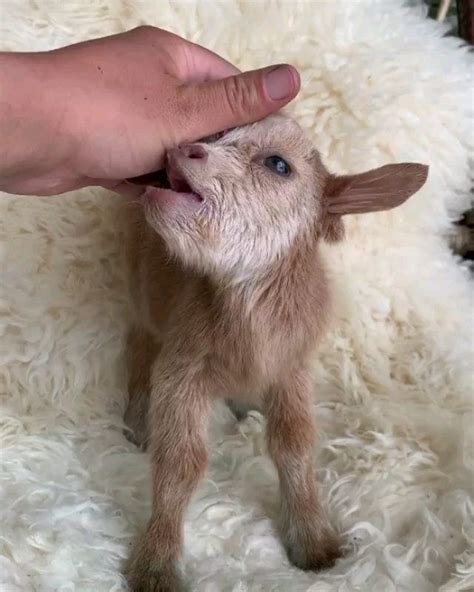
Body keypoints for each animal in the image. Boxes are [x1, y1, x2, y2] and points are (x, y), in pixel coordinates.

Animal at [122, 113, 426, 588]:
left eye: (278, 164)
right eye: (215, 133)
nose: (184, 149)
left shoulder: (291, 368)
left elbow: (294, 444)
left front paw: (314, 541)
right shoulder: (182, 365)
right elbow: (180, 459)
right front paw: (156, 563)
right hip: (141, 293)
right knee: (137, 341)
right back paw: (137, 422)